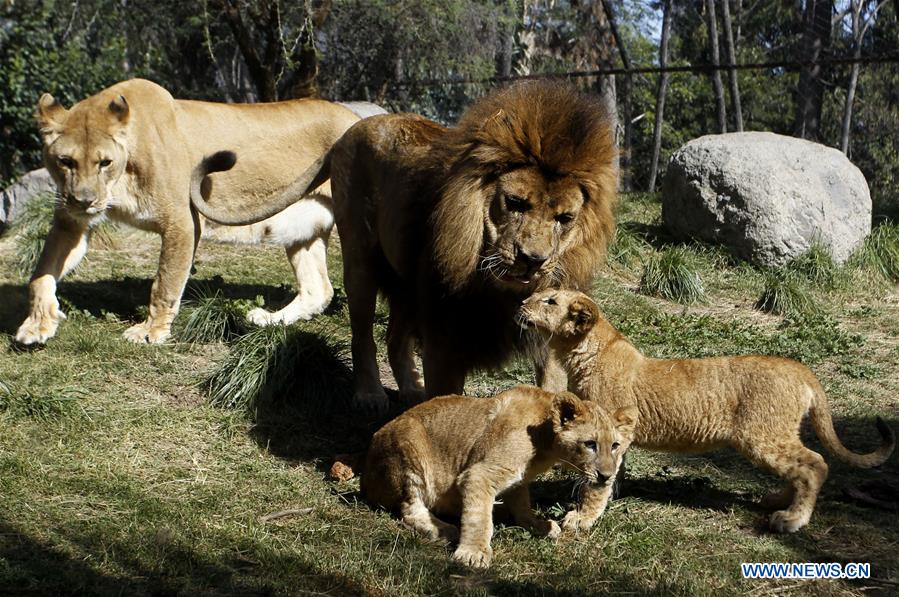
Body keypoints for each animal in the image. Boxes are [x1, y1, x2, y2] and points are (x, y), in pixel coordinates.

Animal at [15, 78, 367, 345]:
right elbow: (41, 274)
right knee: (318, 289)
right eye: (66, 161)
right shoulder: (70, 222)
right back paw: (267, 319)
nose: (84, 200)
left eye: (104, 162)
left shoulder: (182, 222)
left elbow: (165, 282)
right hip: (302, 227)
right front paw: (37, 323)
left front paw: (150, 332)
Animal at [361, 385, 637, 568]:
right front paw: (472, 553)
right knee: (411, 510)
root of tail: (365, 480)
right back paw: (445, 529)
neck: (545, 442)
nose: (606, 476)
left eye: (614, 445)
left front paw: (537, 524)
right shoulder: (478, 474)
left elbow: (522, 503)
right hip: (410, 447)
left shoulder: (519, 479)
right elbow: (478, 518)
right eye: (590, 444)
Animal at [519, 289, 896, 533]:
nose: (521, 304)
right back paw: (776, 500)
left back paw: (791, 519)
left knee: (814, 463)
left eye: (550, 301)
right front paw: (612, 492)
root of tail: (799, 368)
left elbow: (596, 483)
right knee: (800, 467)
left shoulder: (613, 428)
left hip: (760, 436)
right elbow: (612, 471)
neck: (586, 350)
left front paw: (581, 518)